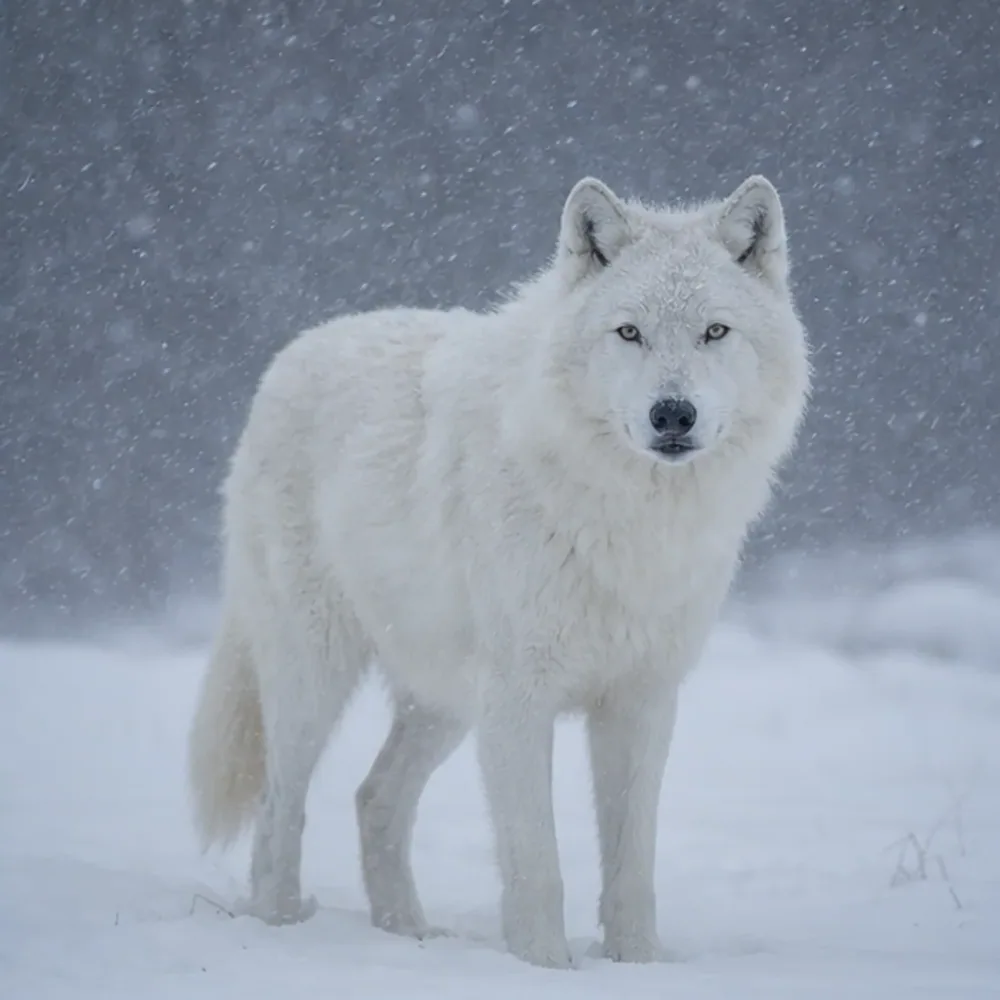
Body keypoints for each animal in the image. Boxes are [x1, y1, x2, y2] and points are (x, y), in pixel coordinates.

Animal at [187, 174, 810, 968]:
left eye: (715, 332)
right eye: (629, 333)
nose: (673, 414)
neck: (628, 519)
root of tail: (292, 352)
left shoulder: (641, 701)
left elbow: (631, 865)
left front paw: (636, 965)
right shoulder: (518, 700)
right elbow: (538, 863)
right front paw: (545, 968)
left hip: (445, 704)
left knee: (373, 798)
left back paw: (411, 936)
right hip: (316, 677)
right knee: (278, 811)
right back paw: (279, 928)